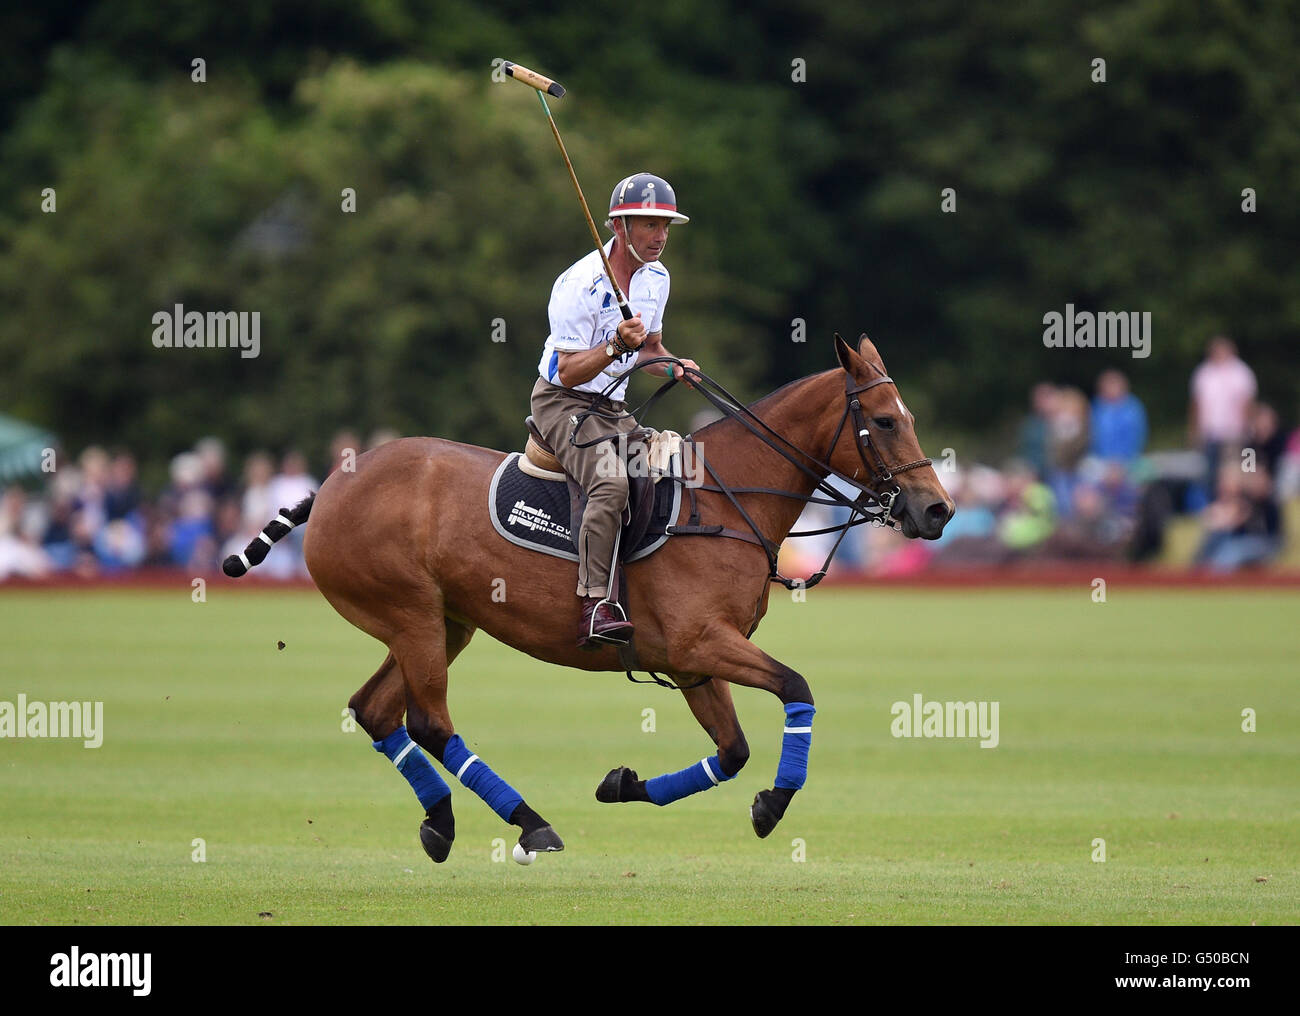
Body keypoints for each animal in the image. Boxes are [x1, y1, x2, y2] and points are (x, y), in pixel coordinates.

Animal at [223, 335, 956, 867]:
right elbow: (796, 687)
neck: (726, 498)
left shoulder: (690, 660)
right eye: (884, 421)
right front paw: (773, 805)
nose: (938, 510)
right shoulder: (700, 640)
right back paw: (532, 825)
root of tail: (335, 480)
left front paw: (623, 784)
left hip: (444, 620)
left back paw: (441, 823)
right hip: (409, 614)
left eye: (912, 418)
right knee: (429, 722)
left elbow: (732, 750)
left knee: (376, 711)